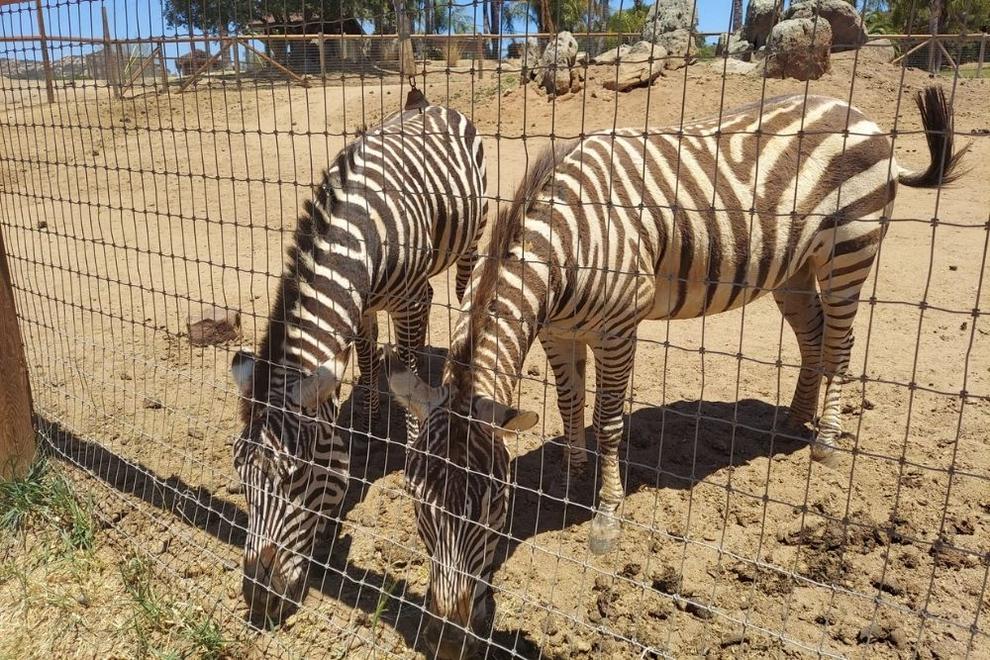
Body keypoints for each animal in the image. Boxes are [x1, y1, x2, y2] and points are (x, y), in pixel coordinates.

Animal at [226, 104, 488, 624]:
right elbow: (365, 356)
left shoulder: (408, 301)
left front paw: (412, 443)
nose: (258, 601)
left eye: (297, 476)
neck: (360, 230)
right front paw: (366, 419)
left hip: (470, 235)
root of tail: (425, 105)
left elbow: (406, 365)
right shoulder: (362, 302)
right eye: (240, 478)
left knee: (462, 287)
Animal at [388, 86, 968, 656]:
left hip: (849, 251)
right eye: (415, 501)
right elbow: (570, 406)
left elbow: (610, 422)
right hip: (795, 268)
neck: (565, 249)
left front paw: (606, 515)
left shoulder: (619, 327)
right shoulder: (557, 331)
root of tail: (856, 110)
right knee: (814, 336)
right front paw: (571, 479)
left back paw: (826, 439)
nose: (447, 634)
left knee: (841, 344)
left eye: (491, 503)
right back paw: (793, 421)